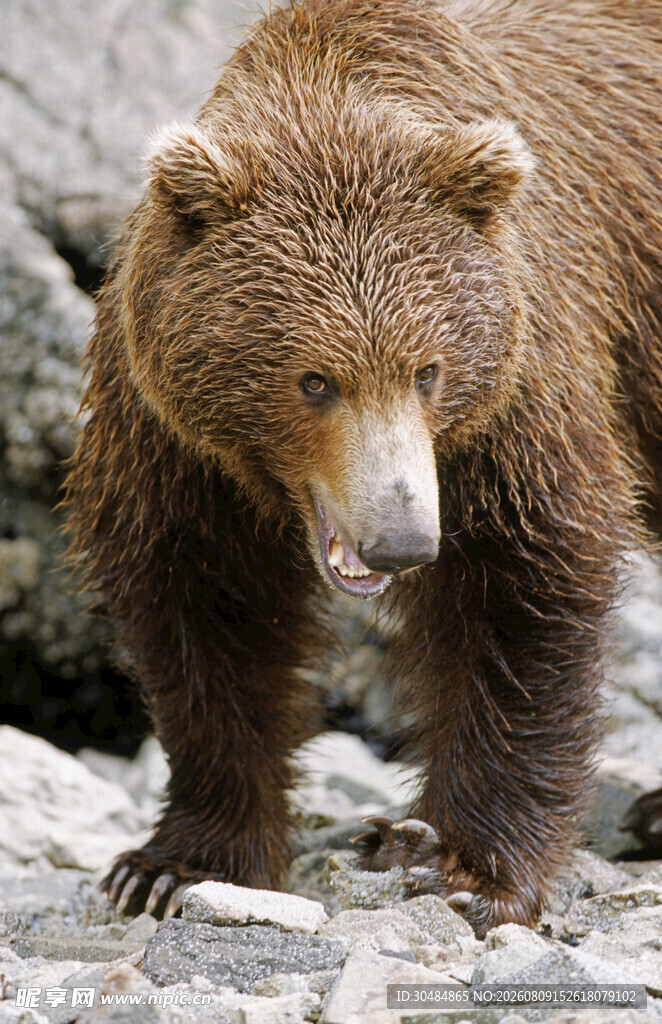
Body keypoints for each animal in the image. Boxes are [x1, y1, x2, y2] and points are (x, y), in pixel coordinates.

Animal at [65, 0, 662, 937]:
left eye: (428, 369)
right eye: (314, 379)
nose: (402, 539)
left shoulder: (517, 397)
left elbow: (523, 594)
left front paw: (465, 868)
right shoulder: (173, 440)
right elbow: (206, 617)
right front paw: (172, 867)